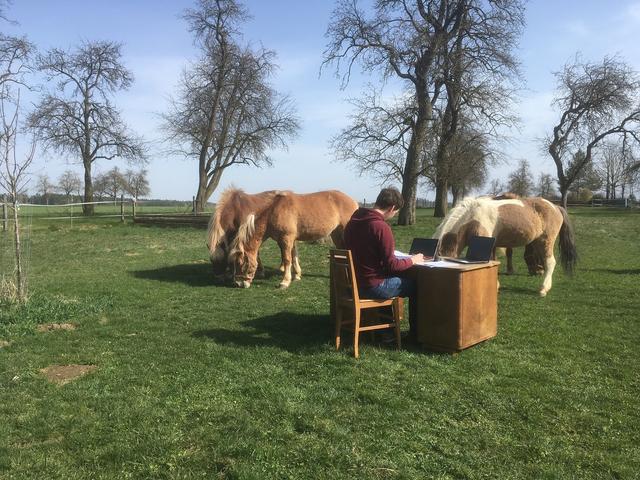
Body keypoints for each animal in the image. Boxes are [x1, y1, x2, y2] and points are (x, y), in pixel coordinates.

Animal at [230, 190, 360, 288]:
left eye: (240, 263)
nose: (238, 283)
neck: (273, 212)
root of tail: (354, 202)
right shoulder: (291, 240)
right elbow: (294, 256)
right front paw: (297, 275)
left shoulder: (286, 239)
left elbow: (287, 259)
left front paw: (285, 282)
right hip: (336, 234)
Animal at [436, 196, 580, 296]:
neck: (473, 216)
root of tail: (556, 206)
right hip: (537, 242)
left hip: (546, 241)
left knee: (550, 262)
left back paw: (543, 289)